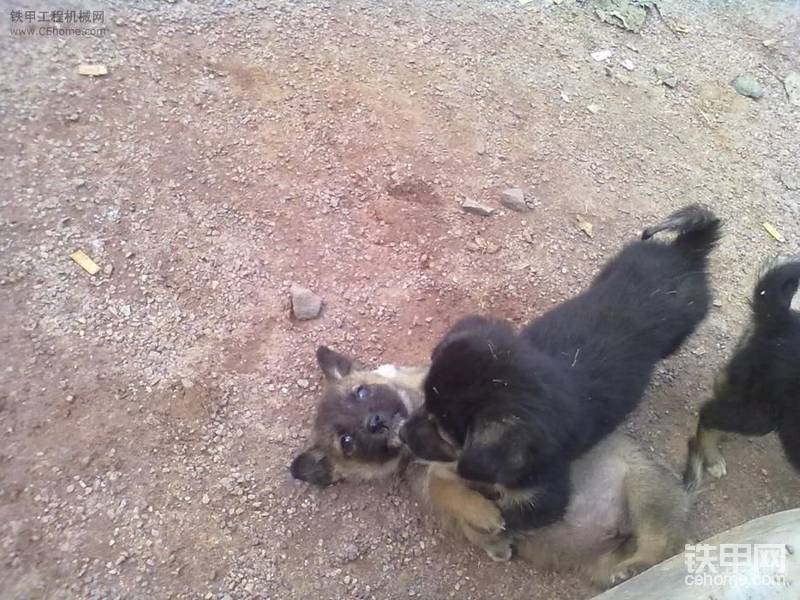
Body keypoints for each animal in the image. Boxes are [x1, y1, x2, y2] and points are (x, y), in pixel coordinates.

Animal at [291, 347, 692, 588]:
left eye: (360, 392)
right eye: (347, 442)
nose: (375, 422)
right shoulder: (434, 482)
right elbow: (443, 487)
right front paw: (487, 526)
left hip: (642, 486)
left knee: (666, 543)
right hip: (600, 563)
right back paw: (629, 569)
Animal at [413, 205, 720, 533]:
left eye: (443, 434)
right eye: (423, 403)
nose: (401, 432)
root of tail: (685, 253)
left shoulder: (544, 499)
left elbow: (491, 504)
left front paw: (481, 515)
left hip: (683, 328)